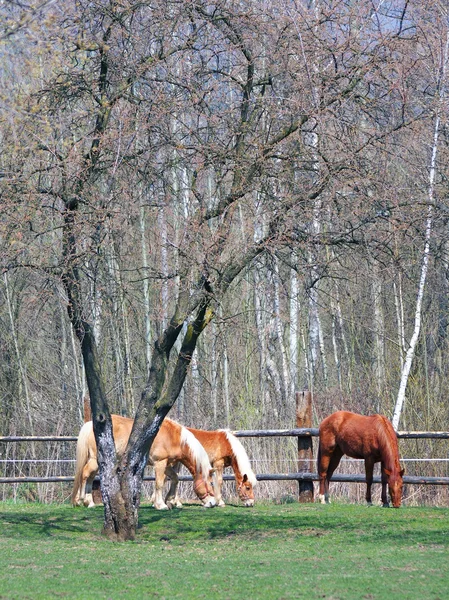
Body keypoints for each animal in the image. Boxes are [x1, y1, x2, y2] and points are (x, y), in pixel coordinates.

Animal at [71, 414, 215, 508]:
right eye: (210, 484)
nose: (212, 503)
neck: (173, 436)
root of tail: (91, 425)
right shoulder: (160, 463)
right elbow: (159, 483)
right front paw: (160, 504)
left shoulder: (167, 464)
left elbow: (175, 478)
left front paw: (169, 500)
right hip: (95, 460)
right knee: (85, 474)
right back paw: (82, 499)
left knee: (90, 477)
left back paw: (89, 502)